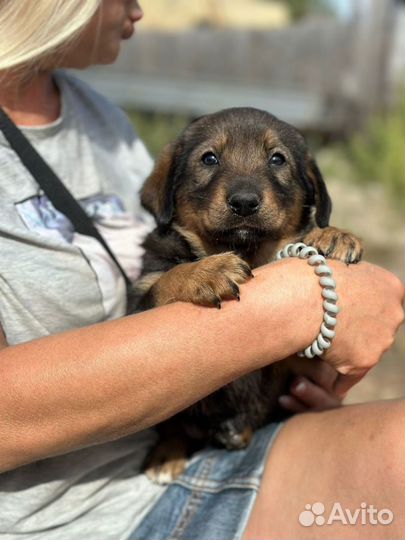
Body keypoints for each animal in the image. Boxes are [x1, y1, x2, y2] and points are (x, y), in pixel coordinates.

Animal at [128, 106, 362, 480]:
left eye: (277, 158)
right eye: (209, 158)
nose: (244, 202)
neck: (248, 251)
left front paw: (332, 234)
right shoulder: (138, 301)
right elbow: (168, 277)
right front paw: (206, 271)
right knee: (175, 425)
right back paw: (170, 453)